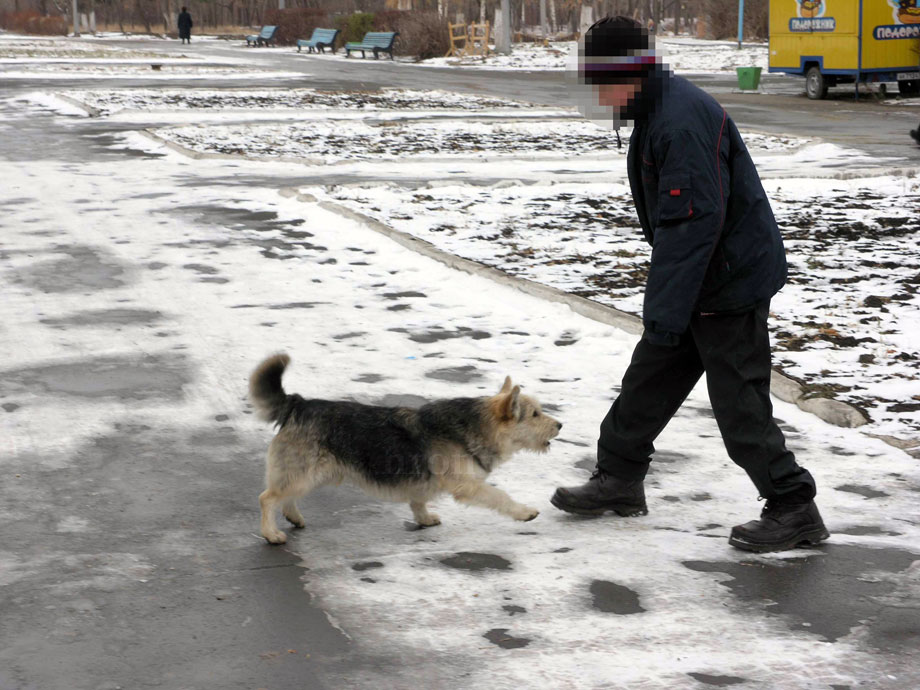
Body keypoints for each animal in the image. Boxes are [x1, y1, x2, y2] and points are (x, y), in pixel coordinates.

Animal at [248, 354, 560, 544]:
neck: (477, 425)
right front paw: (523, 512)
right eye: (534, 414)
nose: (560, 425)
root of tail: (299, 404)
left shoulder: (423, 482)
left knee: (286, 497)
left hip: (310, 474)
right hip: (304, 473)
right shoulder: (468, 485)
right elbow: (500, 496)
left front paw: (424, 519)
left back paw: (294, 517)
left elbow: (417, 501)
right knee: (267, 498)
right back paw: (271, 533)